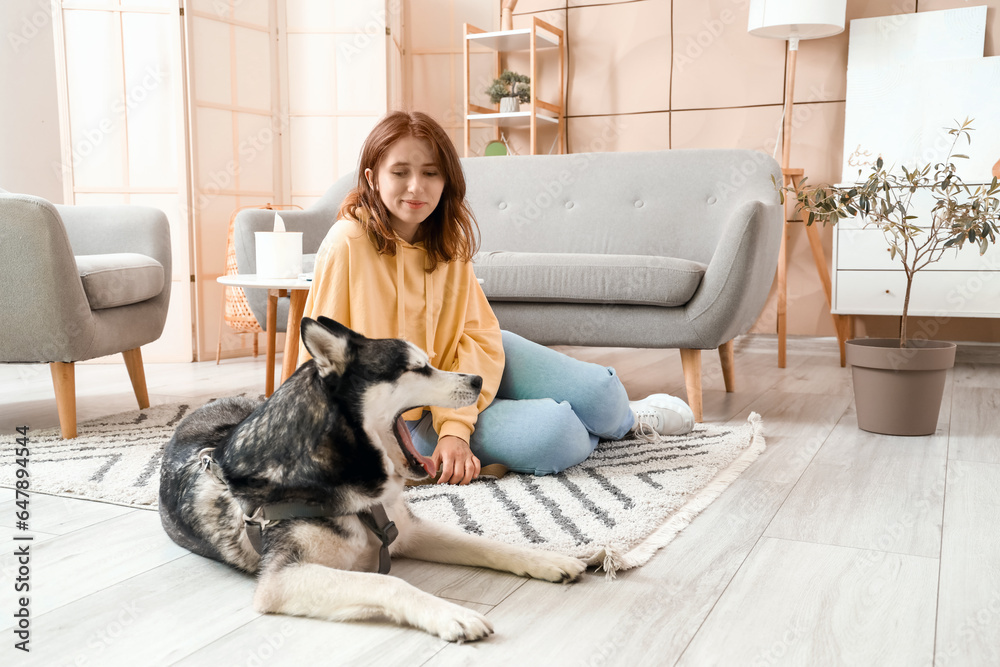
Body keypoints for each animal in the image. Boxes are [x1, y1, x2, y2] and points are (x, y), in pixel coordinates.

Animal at [156, 318, 584, 640]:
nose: (479, 380)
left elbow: (485, 544)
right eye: (417, 368)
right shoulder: (282, 577)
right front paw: (451, 614)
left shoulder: (407, 530)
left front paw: (547, 559)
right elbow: (387, 583)